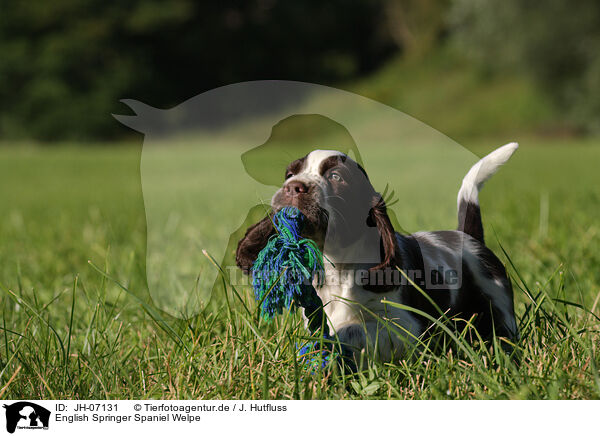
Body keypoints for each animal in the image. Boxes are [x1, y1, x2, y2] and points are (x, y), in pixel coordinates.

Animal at [237, 143, 516, 362]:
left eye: (336, 177)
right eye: (289, 173)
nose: (293, 186)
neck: (337, 264)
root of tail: (469, 237)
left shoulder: (409, 328)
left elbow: (353, 330)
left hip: (498, 305)